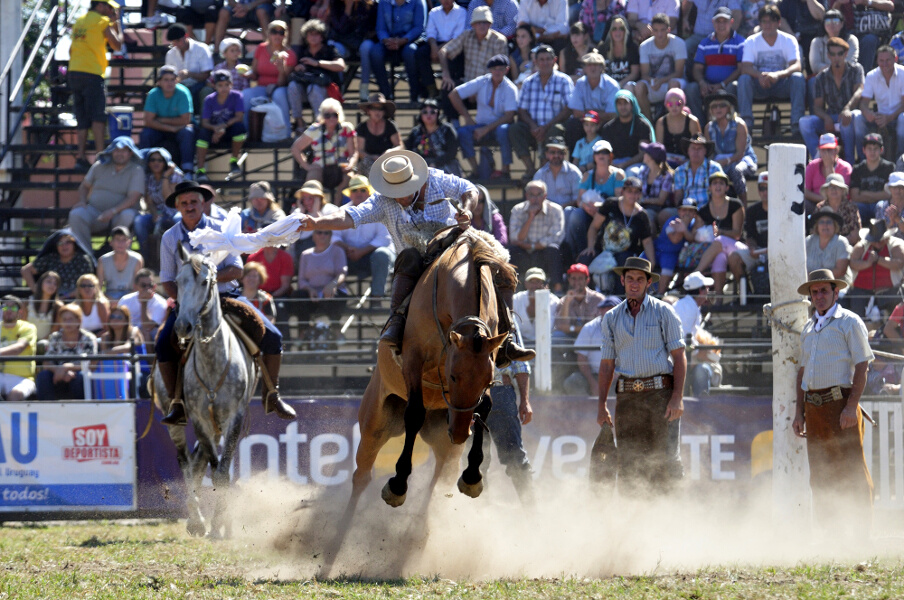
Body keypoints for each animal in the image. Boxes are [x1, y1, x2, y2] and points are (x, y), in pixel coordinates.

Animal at [152, 244, 256, 540]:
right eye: (178, 281)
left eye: (205, 282)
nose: (182, 327)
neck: (212, 362)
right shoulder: (199, 420)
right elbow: (212, 466)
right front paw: (214, 523)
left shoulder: (234, 418)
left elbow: (222, 470)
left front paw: (222, 523)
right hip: (175, 420)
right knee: (186, 462)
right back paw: (196, 520)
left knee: (200, 462)